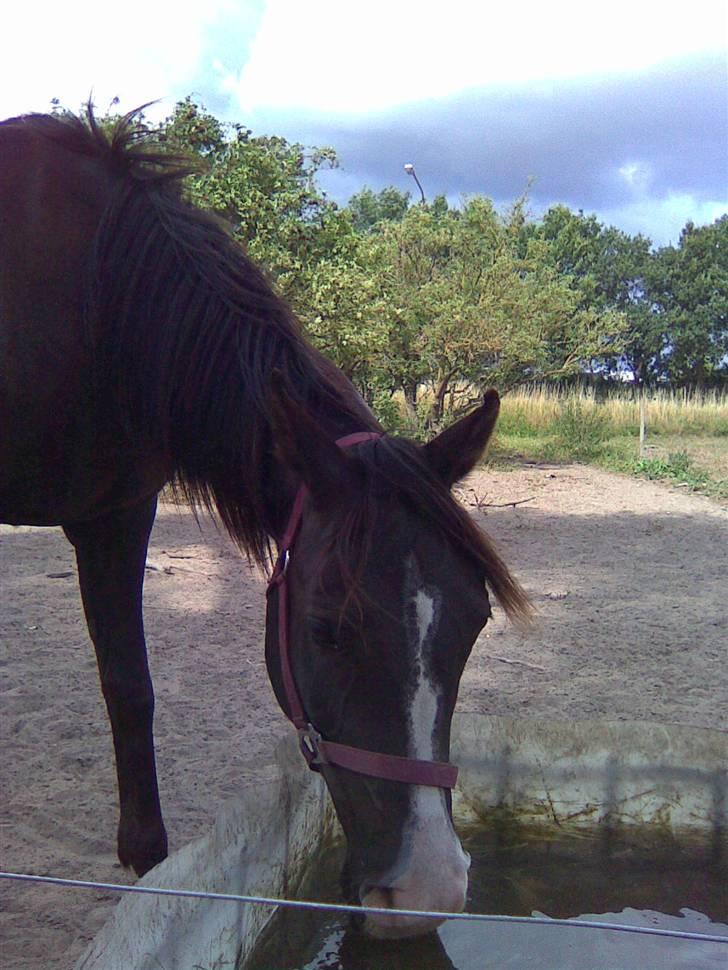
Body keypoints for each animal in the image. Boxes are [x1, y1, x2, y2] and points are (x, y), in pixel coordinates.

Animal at [0, 107, 531, 939]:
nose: (427, 893)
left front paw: (149, 862)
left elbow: (130, 689)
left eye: (476, 621)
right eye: (327, 630)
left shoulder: (115, 514)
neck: (87, 302)